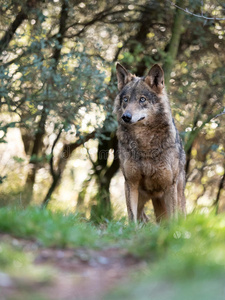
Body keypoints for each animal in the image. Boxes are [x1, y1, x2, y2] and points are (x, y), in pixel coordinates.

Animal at [114, 63, 186, 223]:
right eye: (126, 99)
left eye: (142, 99)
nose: (125, 116)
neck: (145, 143)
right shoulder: (130, 183)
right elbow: (132, 218)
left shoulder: (169, 186)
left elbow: (173, 220)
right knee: (144, 219)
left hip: (177, 198)